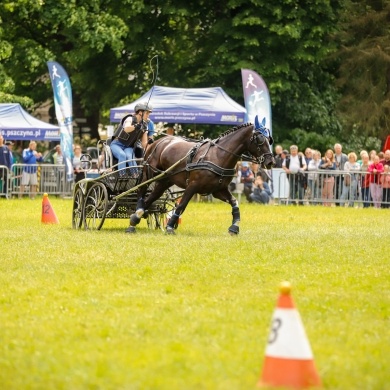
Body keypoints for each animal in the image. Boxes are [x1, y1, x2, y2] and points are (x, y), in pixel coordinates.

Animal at [125, 117, 274, 235]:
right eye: (260, 139)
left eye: (269, 139)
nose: (270, 161)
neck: (218, 156)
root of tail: (156, 142)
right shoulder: (192, 186)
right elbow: (181, 205)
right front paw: (170, 227)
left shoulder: (218, 190)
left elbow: (234, 203)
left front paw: (234, 227)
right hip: (150, 174)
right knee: (141, 191)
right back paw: (136, 217)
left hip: (164, 181)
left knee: (151, 198)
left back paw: (136, 217)